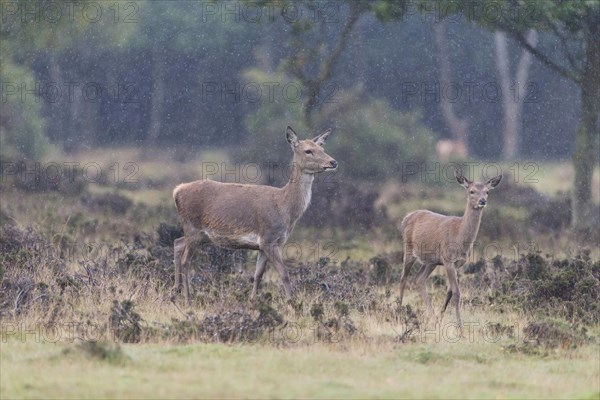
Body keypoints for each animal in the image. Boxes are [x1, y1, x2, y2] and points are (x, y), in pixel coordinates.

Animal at [172, 127, 338, 304]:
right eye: (308, 150)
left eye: (322, 148)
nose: (333, 162)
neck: (284, 208)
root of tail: (177, 191)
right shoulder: (268, 239)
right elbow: (284, 274)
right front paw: (291, 302)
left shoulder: (264, 244)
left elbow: (258, 275)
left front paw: (252, 301)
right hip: (192, 227)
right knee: (186, 261)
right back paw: (188, 299)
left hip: (200, 235)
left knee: (177, 243)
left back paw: (175, 290)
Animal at [398, 167, 502, 326]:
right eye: (471, 191)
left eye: (487, 191)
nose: (482, 201)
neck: (459, 237)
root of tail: (405, 218)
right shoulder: (448, 260)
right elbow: (457, 292)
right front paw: (460, 327)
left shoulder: (458, 263)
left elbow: (449, 291)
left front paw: (441, 318)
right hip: (409, 249)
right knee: (403, 278)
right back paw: (398, 311)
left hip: (431, 261)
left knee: (419, 279)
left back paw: (433, 317)